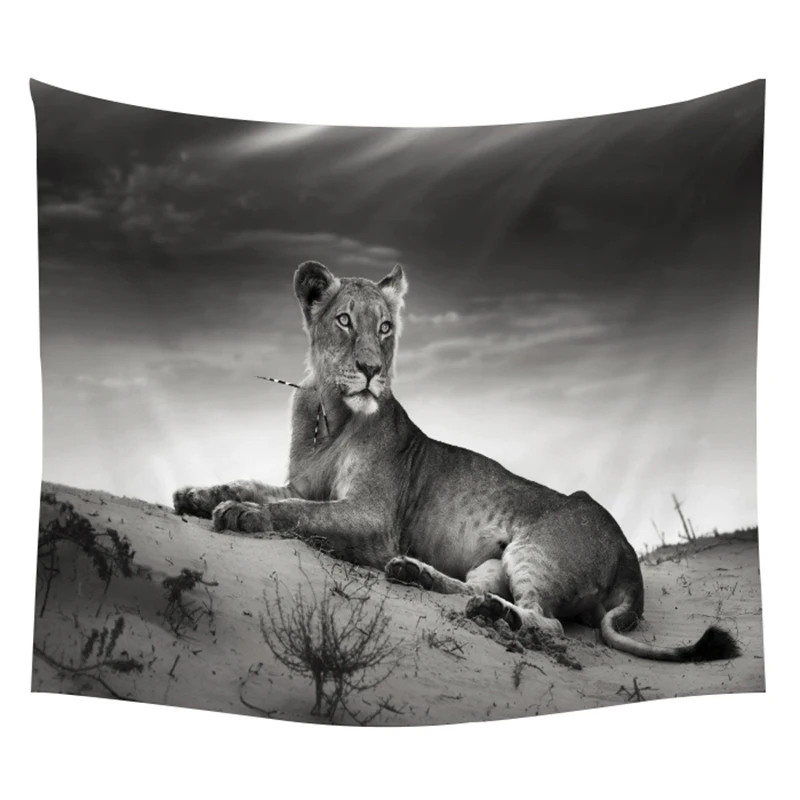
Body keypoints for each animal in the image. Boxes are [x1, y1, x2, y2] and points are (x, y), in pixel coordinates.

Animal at [174, 261, 739, 662]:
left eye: (385, 327)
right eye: (344, 320)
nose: (371, 370)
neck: (329, 414)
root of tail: (628, 554)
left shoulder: (374, 519)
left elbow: (294, 512)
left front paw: (243, 515)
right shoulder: (303, 485)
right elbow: (253, 484)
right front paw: (198, 494)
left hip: (535, 552)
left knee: (549, 624)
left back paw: (491, 613)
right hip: (493, 562)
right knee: (473, 588)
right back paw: (418, 575)